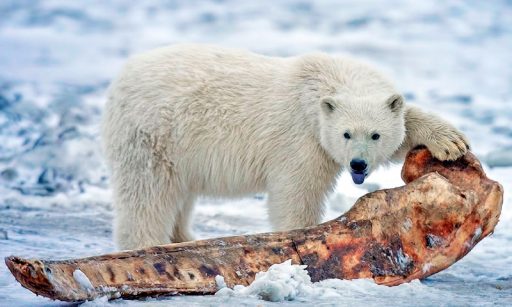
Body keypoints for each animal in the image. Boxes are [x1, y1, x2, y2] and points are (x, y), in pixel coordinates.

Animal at [102, 44, 470, 250]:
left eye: (375, 135)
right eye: (346, 134)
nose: (358, 165)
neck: (324, 82)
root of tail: (120, 79)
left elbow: (405, 124)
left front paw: (451, 142)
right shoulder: (303, 137)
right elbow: (297, 193)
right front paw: (298, 240)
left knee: (181, 193)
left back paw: (184, 237)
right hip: (153, 134)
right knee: (147, 194)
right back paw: (144, 246)